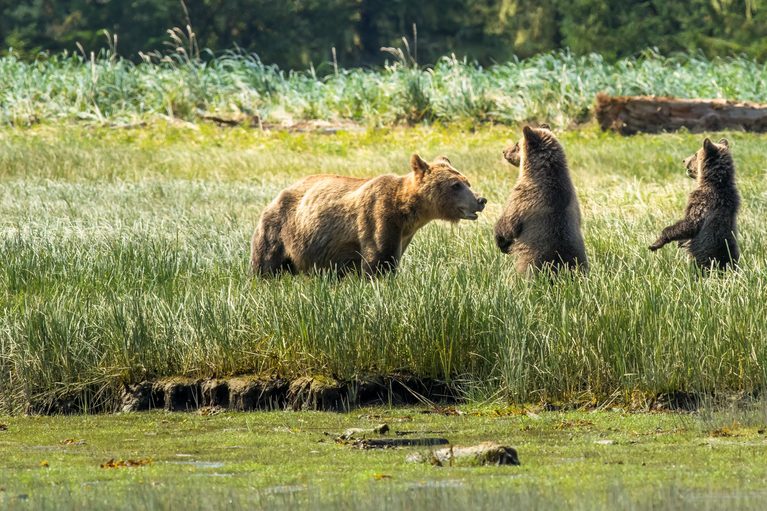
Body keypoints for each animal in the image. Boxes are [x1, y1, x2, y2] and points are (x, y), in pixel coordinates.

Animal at [251, 154, 487, 276]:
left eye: (467, 182)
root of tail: (276, 196)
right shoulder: (379, 216)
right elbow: (379, 259)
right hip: (279, 230)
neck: (407, 213)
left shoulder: (404, 234)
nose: (480, 200)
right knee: (266, 264)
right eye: (455, 185)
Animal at [494, 125, 589, 276]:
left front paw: (502, 243)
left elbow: (507, 223)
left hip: (531, 261)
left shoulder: (522, 198)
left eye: (516, 144)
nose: (504, 151)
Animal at [649, 137, 740, 272]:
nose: (683, 160)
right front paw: (680, 242)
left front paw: (655, 243)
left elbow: (691, 223)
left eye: (696, 154)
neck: (713, 182)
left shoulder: (702, 200)